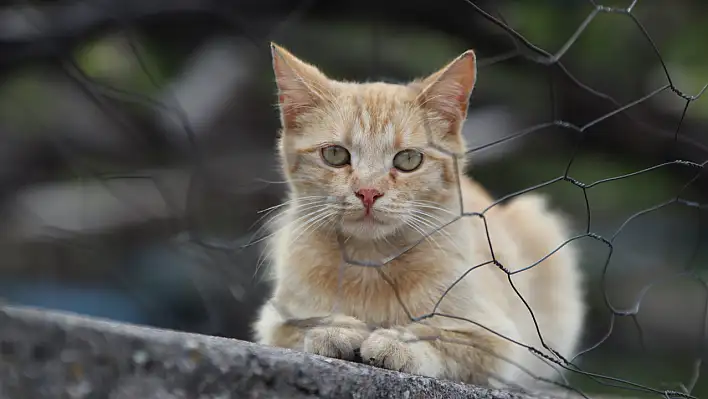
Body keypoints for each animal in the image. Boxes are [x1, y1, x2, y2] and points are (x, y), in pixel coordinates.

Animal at [253, 41, 588, 394]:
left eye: (408, 160)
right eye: (335, 155)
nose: (368, 192)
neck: (371, 265)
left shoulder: (496, 342)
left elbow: (442, 338)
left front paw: (397, 343)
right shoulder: (274, 320)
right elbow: (297, 326)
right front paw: (333, 329)